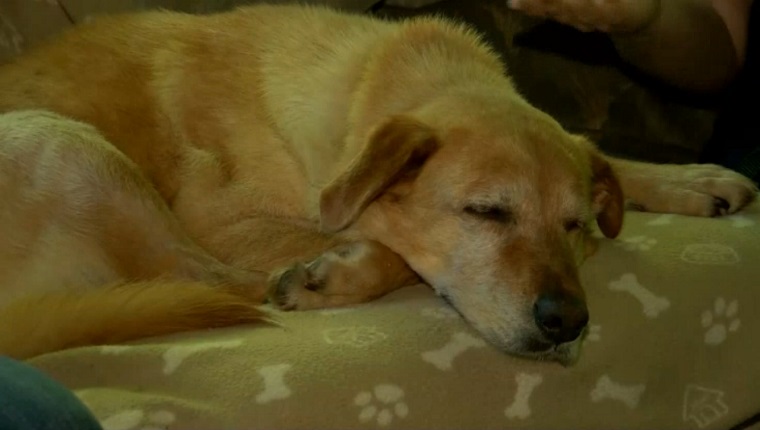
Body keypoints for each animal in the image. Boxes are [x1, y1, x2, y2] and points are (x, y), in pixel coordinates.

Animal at [0, 5, 756, 364]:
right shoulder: (224, 220)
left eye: (574, 226)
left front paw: (690, 178)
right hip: (68, 143)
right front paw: (341, 266)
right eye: (486, 212)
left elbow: (600, 155)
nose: (567, 323)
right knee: (207, 280)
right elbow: (393, 250)